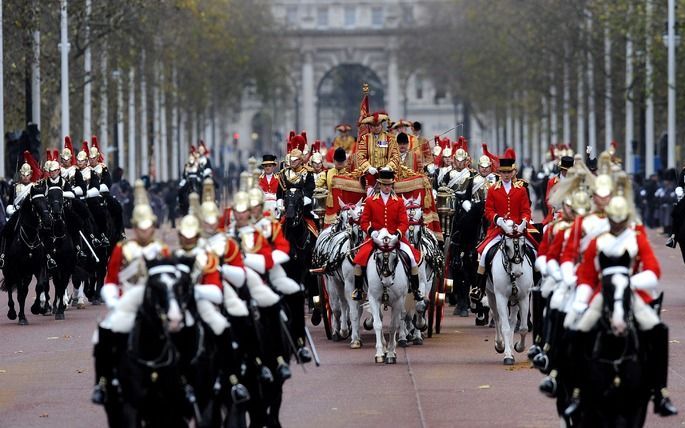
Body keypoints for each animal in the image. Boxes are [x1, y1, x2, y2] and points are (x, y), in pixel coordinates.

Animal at [0, 183, 51, 324]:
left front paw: (36, 308)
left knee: (26, 288)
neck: (30, 238)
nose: (47, 220)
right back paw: (12, 312)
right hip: (8, 270)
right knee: (11, 288)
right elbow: (20, 294)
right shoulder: (17, 269)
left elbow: (39, 286)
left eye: (46, 201)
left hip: (27, 274)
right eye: (35, 203)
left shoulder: (38, 267)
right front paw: (21, 317)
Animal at [366, 229, 408, 362]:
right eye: (378, 258)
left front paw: (390, 353)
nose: (387, 282)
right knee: (380, 317)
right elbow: (377, 324)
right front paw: (380, 353)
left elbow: (393, 326)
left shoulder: (398, 301)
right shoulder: (373, 299)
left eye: (395, 258)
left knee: (399, 318)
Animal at [484, 229, 532, 366]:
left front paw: (517, 347)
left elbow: (523, 328)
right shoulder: (501, 297)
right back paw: (501, 345)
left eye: (523, 246)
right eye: (507, 247)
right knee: (496, 318)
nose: (517, 272)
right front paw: (507, 355)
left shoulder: (523, 297)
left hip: (514, 299)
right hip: (491, 295)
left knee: (512, 321)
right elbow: (504, 327)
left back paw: (509, 347)